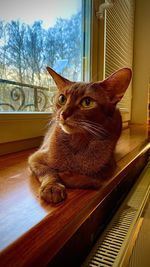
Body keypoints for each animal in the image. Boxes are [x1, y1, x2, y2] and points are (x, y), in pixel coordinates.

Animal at [28, 66, 131, 203]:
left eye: (87, 102)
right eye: (62, 99)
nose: (63, 114)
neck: (77, 144)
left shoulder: (110, 167)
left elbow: (95, 180)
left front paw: (65, 176)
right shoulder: (35, 158)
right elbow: (47, 171)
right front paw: (52, 187)